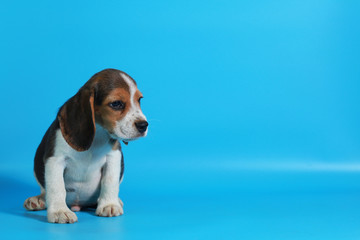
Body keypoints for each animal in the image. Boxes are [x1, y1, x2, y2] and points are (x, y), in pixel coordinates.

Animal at [23, 69, 148, 223]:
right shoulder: (55, 160)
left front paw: (109, 204)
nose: (143, 125)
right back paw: (38, 200)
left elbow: (110, 181)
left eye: (139, 100)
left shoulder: (113, 156)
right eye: (116, 103)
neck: (97, 135)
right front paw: (59, 211)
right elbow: (57, 187)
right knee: (45, 189)